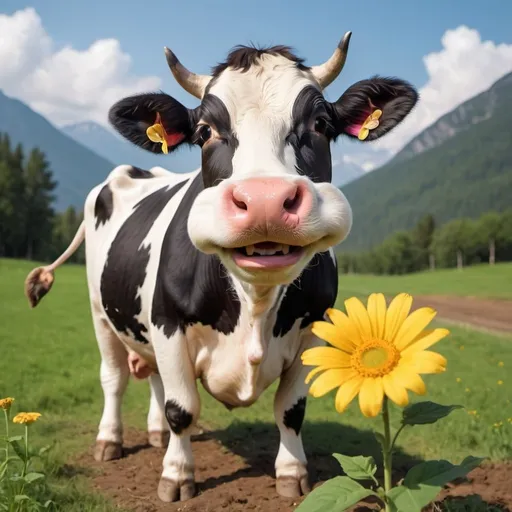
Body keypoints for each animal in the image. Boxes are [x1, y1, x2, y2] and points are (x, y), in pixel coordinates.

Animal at [24, 33, 418, 504]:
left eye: (321, 124)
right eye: (204, 132)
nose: (265, 200)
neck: (254, 305)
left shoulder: (312, 329)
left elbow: (291, 409)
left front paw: (292, 473)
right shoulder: (168, 322)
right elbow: (182, 408)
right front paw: (177, 476)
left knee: (153, 379)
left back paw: (155, 435)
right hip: (101, 314)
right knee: (115, 379)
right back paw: (110, 441)